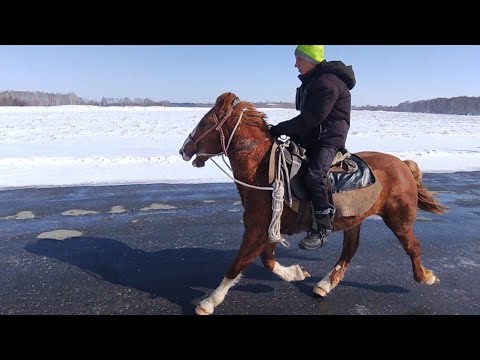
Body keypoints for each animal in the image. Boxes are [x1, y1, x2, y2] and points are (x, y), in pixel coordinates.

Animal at [178, 92, 448, 316]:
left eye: (205, 123)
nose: (184, 150)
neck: (263, 170)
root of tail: (403, 165)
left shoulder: (257, 229)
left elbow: (238, 264)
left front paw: (208, 302)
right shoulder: (269, 228)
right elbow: (267, 260)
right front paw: (296, 273)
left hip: (399, 219)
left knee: (412, 246)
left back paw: (425, 277)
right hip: (354, 220)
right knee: (349, 250)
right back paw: (324, 285)